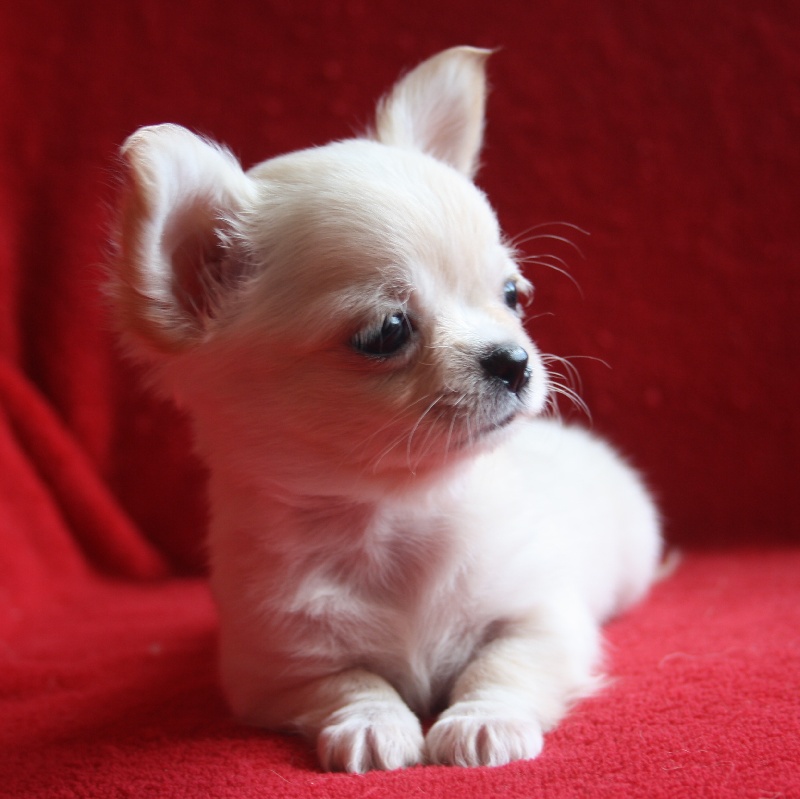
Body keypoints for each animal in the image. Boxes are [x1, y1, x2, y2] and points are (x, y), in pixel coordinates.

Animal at [110, 46, 661, 772]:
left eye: (513, 295)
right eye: (387, 332)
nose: (514, 360)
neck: (394, 517)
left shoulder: (543, 616)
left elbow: (503, 664)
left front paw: (483, 722)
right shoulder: (275, 664)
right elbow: (349, 681)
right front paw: (373, 724)